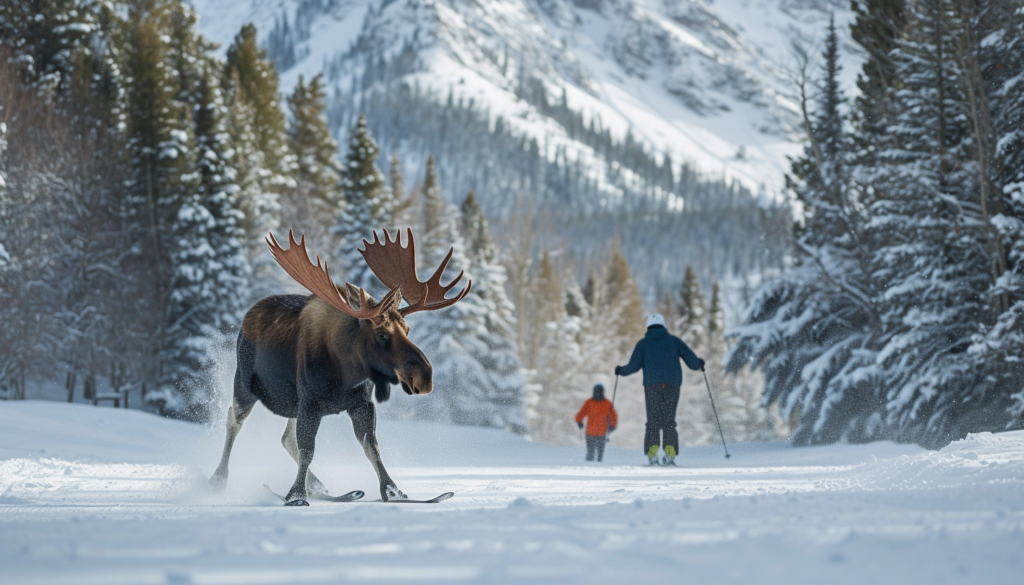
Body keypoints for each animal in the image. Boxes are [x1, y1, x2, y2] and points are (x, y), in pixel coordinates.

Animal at [212, 231, 475, 506]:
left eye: (407, 329)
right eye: (381, 334)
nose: (424, 377)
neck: (346, 373)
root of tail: (248, 315)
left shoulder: (361, 403)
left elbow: (372, 447)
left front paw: (394, 492)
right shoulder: (310, 403)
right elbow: (308, 450)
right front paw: (296, 496)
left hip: (291, 403)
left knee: (286, 439)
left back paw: (319, 487)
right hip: (244, 384)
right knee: (234, 420)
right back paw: (218, 479)